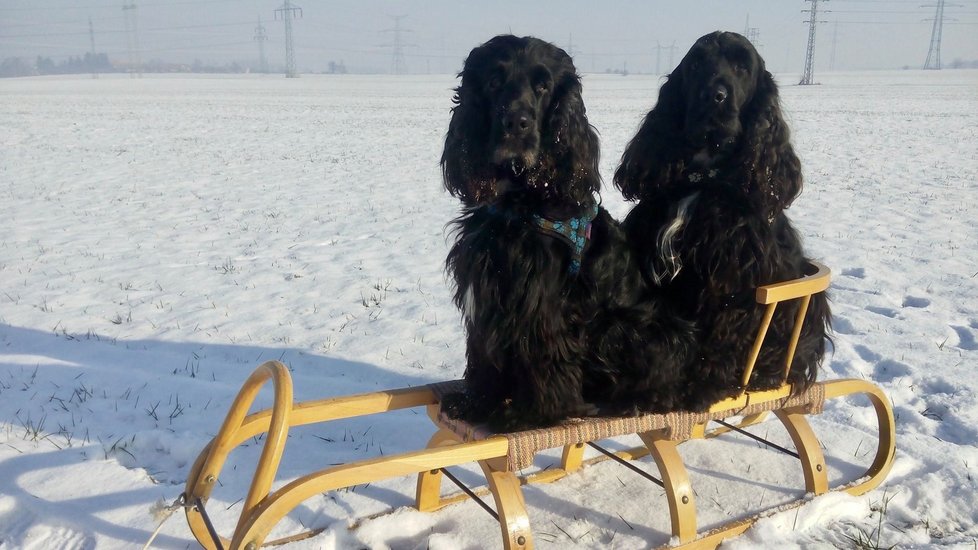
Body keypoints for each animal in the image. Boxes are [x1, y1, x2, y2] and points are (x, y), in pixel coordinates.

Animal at [438, 35, 692, 432]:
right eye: (493, 81)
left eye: (543, 86)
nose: (516, 123)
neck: (518, 200)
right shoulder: (486, 293)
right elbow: (483, 354)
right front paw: (477, 402)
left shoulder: (542, 304)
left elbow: (546, 358)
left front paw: (531, 415)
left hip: (628, 328)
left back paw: (635, 401)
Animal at [612, 30, 828, 410]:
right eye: (697, 63)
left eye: (743, 66)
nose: (714, 97)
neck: (704, 175)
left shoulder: (736, 280)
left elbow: (726, 333)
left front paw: (702, 385)